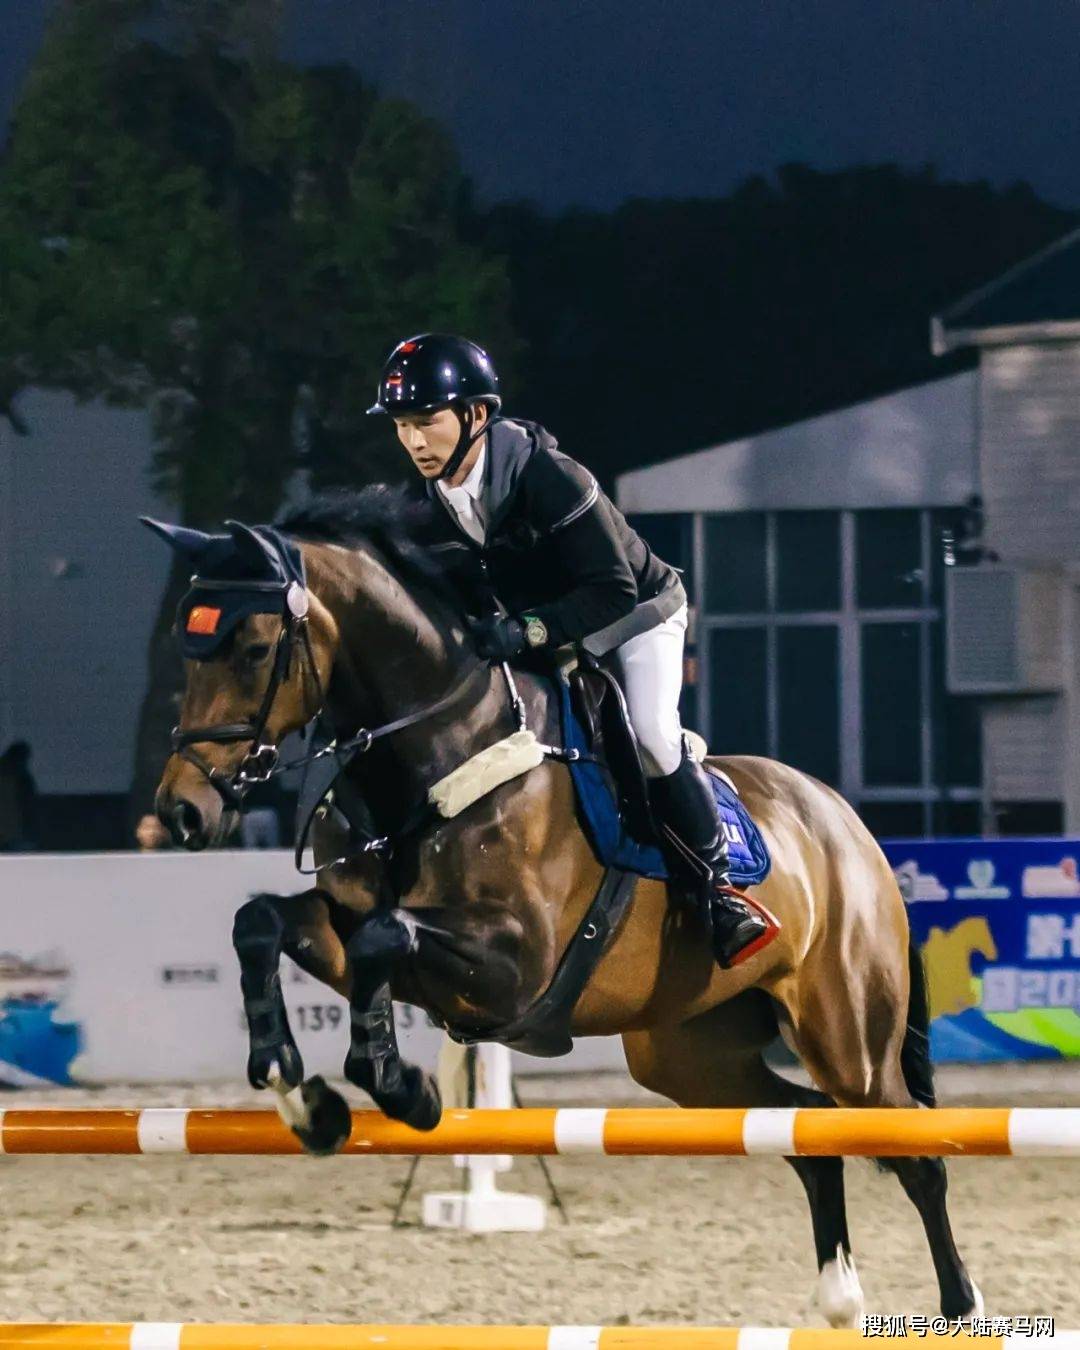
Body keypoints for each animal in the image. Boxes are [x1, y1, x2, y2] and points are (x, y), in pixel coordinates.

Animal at [147, 489, 982, 1328]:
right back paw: (841, 1295)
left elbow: (386, 937)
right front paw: (301, 1097)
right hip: (690, 1055)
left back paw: (960, 1305)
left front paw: (401, 1088)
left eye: (254, 650)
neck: (434, 754)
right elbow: (263, 924)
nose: (182, 813)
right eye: (188, 652)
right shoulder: (353, 930)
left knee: (914, 1152)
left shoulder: (513, 966)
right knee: (803, 1128)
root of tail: (850, 830)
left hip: (849, 1040)